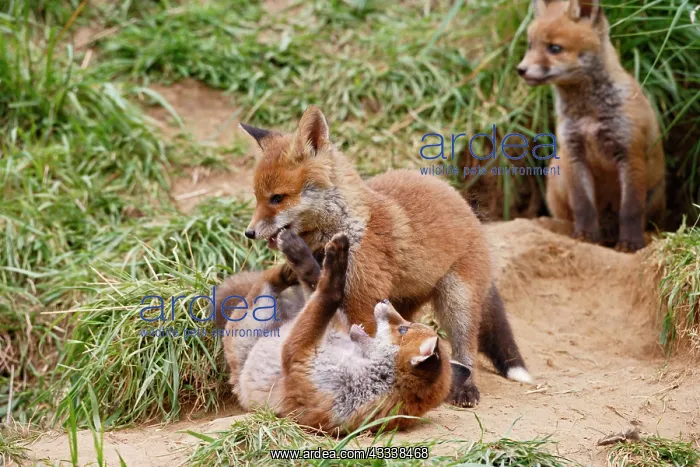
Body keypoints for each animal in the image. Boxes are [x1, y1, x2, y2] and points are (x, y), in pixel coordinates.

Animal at [218, 230, 470, 432]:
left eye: (402, 327)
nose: (385, 301)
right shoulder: (334, 330)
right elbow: (322, 289)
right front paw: (321, 259)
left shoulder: (299, 360)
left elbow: (330, 295)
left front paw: (332, 259)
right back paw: (291, 265)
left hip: (250, 321)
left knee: (263, 285)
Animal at [228, 105, 532, 408]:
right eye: (257, 197)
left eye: (277, 198)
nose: (249, 233)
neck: (348, 227)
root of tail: (460, 197)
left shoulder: (362, 299)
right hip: (402, 302)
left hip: (458, 300)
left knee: (467, 347)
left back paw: (466, 387)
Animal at [517, 0, 666, 251]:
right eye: (530, 45)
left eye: (554, 48)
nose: (521, 69)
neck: (588, 115)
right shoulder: (573, 153)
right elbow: (583, 205)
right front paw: (585, 236)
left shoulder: (630, 153)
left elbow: (631, 209)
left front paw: (631, 243)